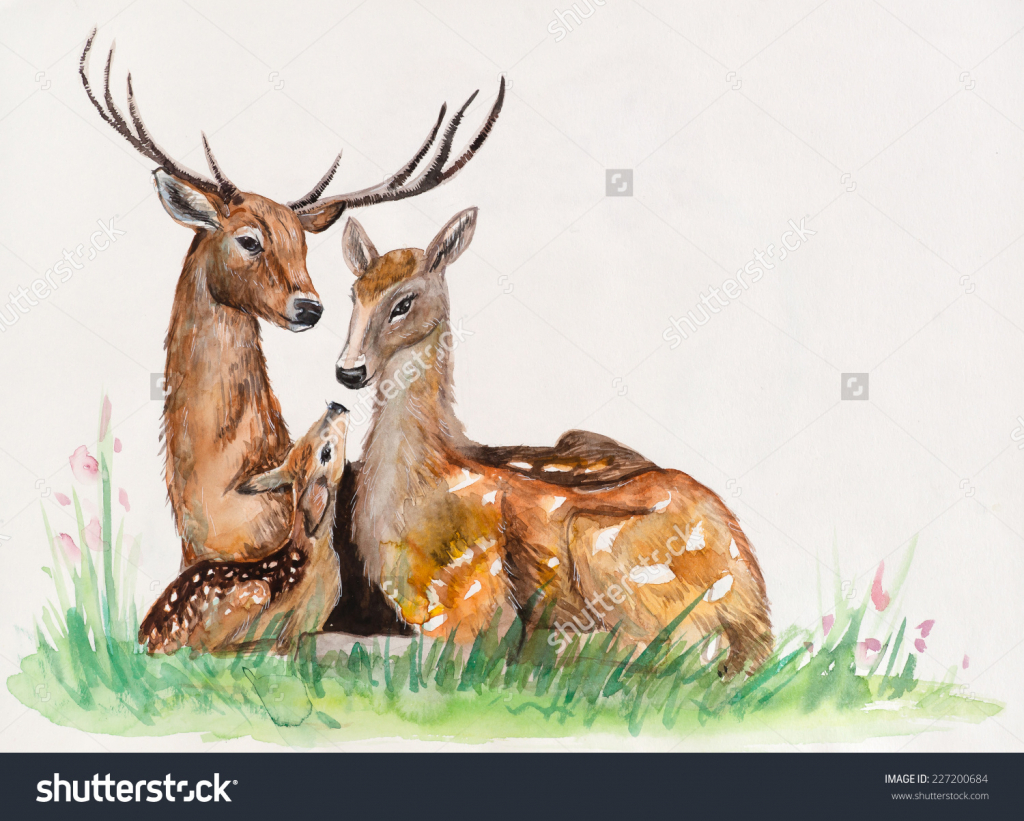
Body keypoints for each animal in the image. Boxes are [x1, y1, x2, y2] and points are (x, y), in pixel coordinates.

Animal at [140, 402, 351, 655]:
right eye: (326, 453)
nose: (337, 406)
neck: (314, 551)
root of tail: (147, 638)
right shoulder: (304, 617)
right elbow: (288, 642)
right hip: (255, 592)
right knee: (200, 649)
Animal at [331, 209, 774, 677]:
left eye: (404, 302)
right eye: (354, 294)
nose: (349, 371)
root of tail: (758, 615)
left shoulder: (478, 603)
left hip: (602, 544)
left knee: (667, 654)